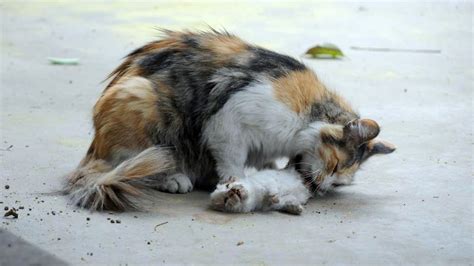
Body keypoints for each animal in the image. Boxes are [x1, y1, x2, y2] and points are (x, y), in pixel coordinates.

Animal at [65, 29, 394, 212]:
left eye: (339, 182)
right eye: (335, 166)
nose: (322, 189)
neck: (305, 117)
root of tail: (93, 151)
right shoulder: (229, 120)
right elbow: (232, 159)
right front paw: (235, 180)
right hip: (141, 98)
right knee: (141, 162)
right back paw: (174, 178)